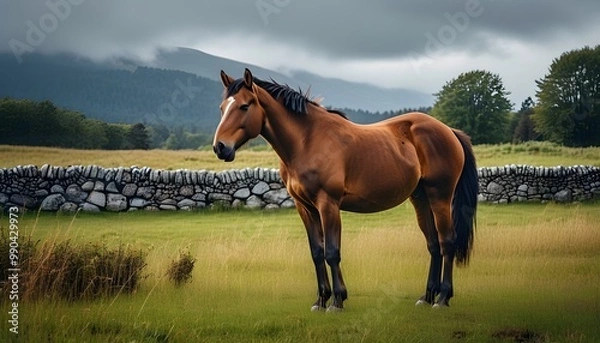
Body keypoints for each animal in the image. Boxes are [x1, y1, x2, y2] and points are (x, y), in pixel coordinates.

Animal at [213, 68, 476, 314]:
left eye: (245, 106)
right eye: (222, 107)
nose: (220, 147)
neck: (307, 141)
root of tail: (449, 130)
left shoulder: (328, 205)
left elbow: (332, 252)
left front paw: (337, 301)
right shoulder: (305, 208)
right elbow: (317, 252)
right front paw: (321, 300)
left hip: (440, 197)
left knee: (447, 242)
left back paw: (442, 298)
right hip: (421, 198)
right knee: (433, 244)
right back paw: (427, 296)